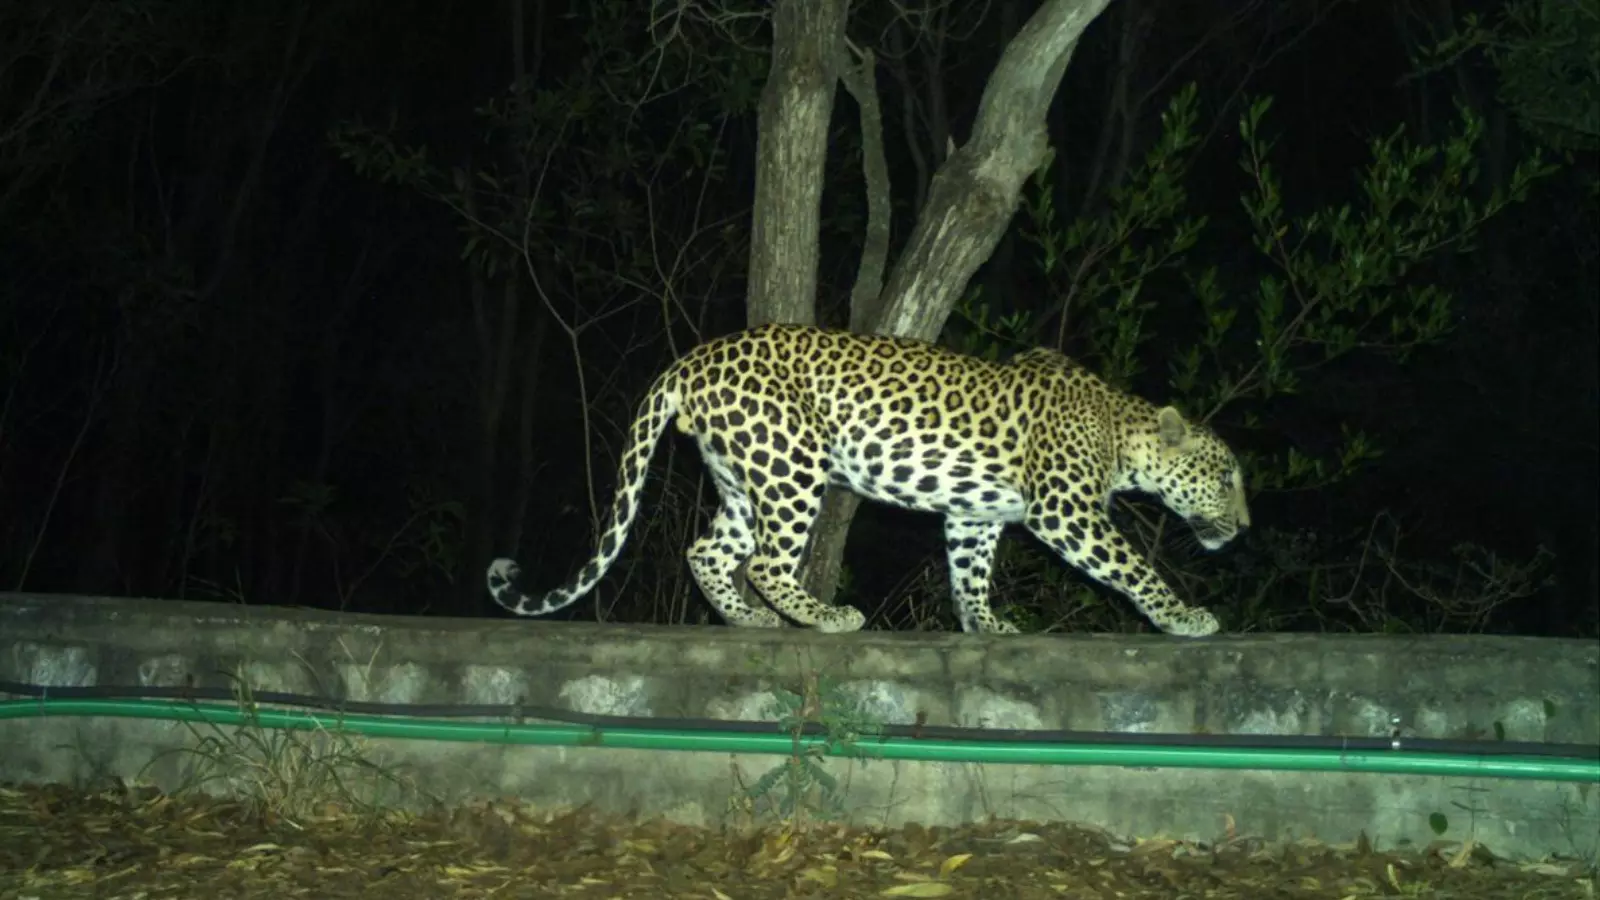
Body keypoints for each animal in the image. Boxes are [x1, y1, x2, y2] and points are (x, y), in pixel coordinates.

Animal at [487, 323, 1249, 636]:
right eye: (1225, 477)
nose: (1244, 527)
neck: (1123, 431)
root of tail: (693, 357)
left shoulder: (974, 514)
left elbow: (969, 571)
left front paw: (985, 624)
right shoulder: (1067, 510)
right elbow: (1132, 566)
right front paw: (1183, 616)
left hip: (741, 475)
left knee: (708, 551)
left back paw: (749, 618)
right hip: (791, 462)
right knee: (766, 561)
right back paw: (824, 616)